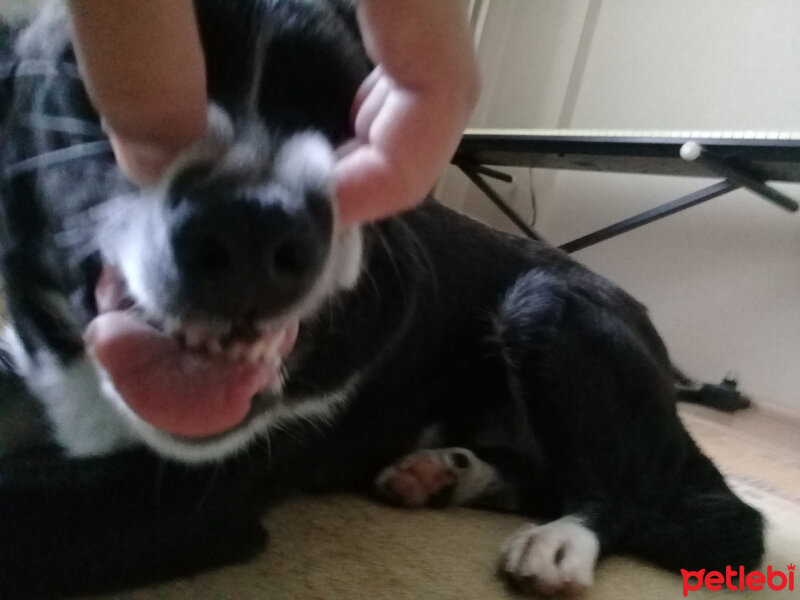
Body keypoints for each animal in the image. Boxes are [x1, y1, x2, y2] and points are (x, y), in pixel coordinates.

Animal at [0, 0, 764, 596]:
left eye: (351, 122)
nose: (253, 227)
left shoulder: (179, 496)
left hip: (549, 306)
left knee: (666, 510)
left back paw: (558, 544)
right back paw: (445, 473)